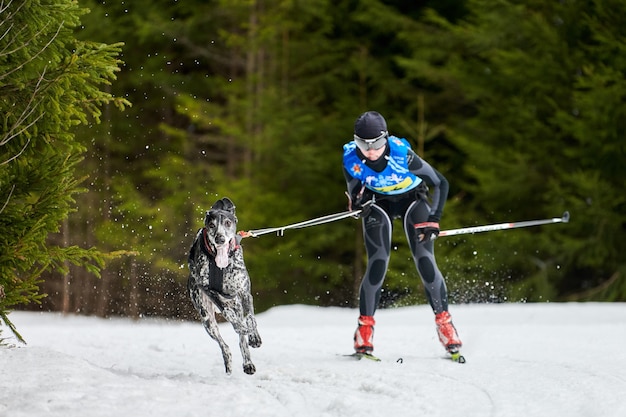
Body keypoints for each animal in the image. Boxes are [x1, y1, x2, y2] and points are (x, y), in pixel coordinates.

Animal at [188, 197, 260, 376]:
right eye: (211, 225)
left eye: (228, 223)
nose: (220, 239)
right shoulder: (208, 289)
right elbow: (229, 315)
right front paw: (239, 325)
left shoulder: (244, 292)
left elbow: (250, 318)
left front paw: (254, 337)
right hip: (207, 320)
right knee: (224, 345)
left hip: (236, 304)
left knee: (242, 341)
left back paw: (248, 362)